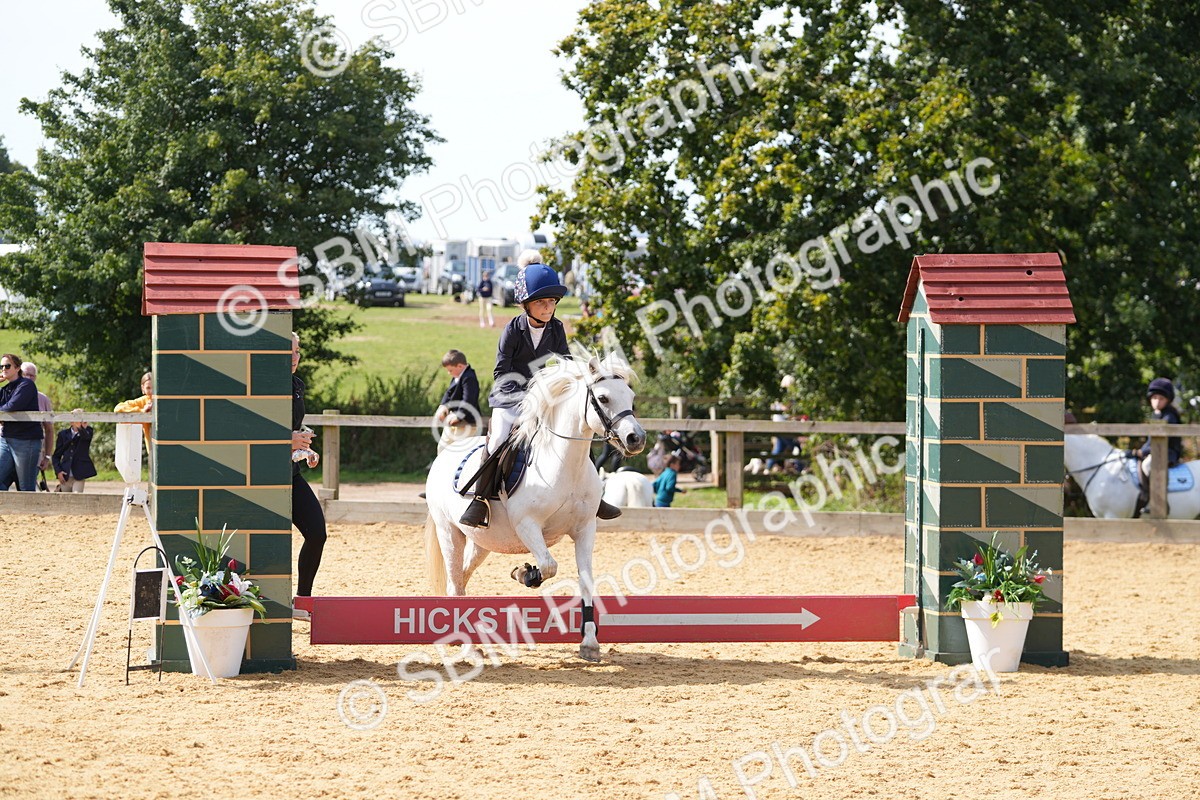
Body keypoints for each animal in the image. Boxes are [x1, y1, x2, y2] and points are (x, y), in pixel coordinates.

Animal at [423, 355, 647, 661]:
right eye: (603, 398)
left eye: (631, 397)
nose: (636, 439)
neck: (565, 464)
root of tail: (446, 453)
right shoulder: (527, 525)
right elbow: (549, 566)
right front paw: (524, 573)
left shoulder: (585, 529)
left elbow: (586, 580)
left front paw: (589, 644)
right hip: (449, 533)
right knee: (456, 580)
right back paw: (468, 648)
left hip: (482, 541)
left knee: (461, 577)